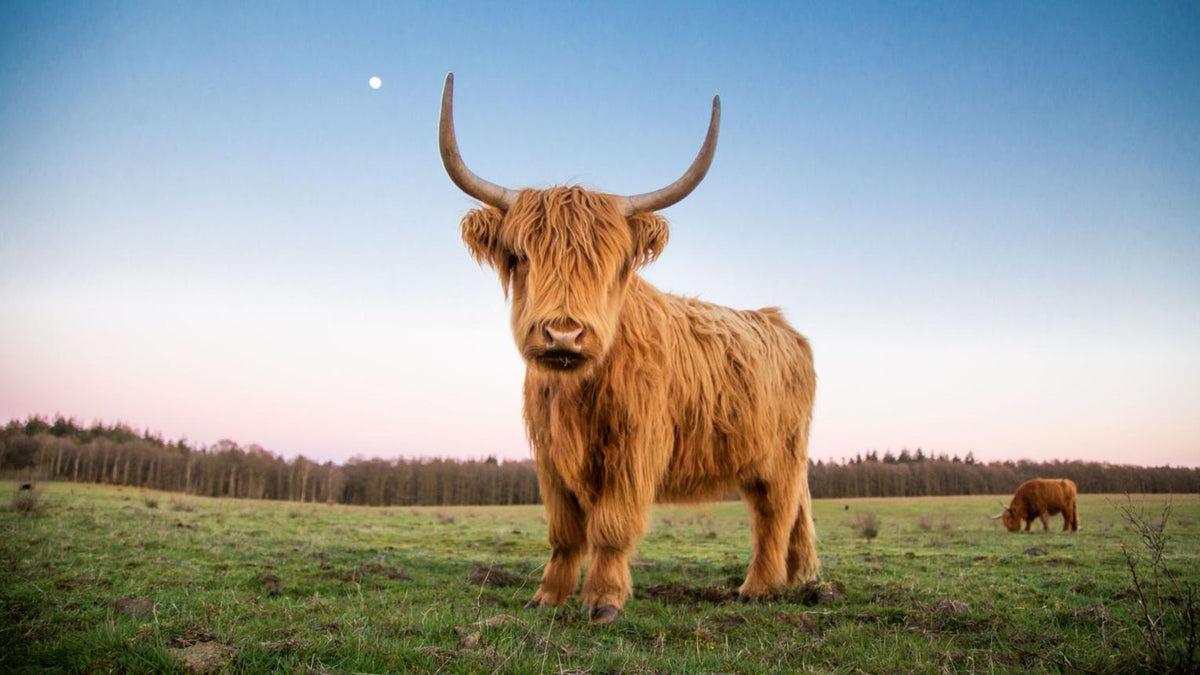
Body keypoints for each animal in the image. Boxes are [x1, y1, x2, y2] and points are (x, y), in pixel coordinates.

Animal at [439, 74, 818, 623]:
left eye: (611, 262)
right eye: (522, 256)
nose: (563, 334)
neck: (576, 391)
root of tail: (780, 323)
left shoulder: (634, 448)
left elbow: (611, 526)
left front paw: (603, 601)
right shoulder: (549, 456)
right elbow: (564, 532)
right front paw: (547, 597)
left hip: (781, 457)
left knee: (775, 515)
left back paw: (757, 587)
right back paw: (800, 579)